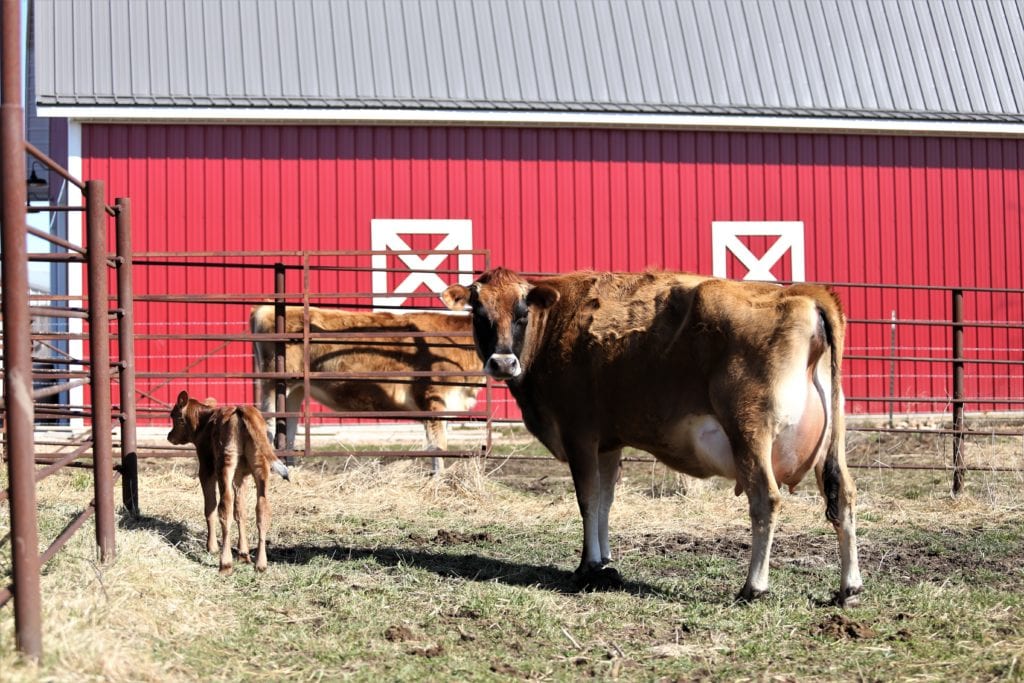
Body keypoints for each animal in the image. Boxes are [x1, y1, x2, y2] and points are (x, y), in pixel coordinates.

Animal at [165, 389, 290, 573]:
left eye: (173, 415)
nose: (169, 436)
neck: (204, 422)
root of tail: (241, 409)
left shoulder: (206, 468)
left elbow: (210, 507)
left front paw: (212, 547)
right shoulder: (241, 477)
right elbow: (241, 511)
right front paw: (244, 554)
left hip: (225, 463)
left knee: (224, 507)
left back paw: (225, 563)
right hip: (260, 465)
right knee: (262, 509)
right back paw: (260, 564)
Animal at [249, 305, 485, 456]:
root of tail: (265, 309)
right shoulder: (433, 399)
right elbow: (438, 448)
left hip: (293, 390)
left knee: (287, 431)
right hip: (273, 386)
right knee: (268, 428)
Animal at [442, 266, 864, 602]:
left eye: (522, 312)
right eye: (479, 312)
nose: (501, 362)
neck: (555, 326)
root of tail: (805, 292)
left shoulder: (579, 432)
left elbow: (587, 499)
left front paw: (586, 567)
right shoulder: (608, 442)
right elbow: (606, 501)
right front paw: (604, 563)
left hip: (749, 429)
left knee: (766, 499)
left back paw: (753, 587)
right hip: (833, 440)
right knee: (844, 494)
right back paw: (849, 587)